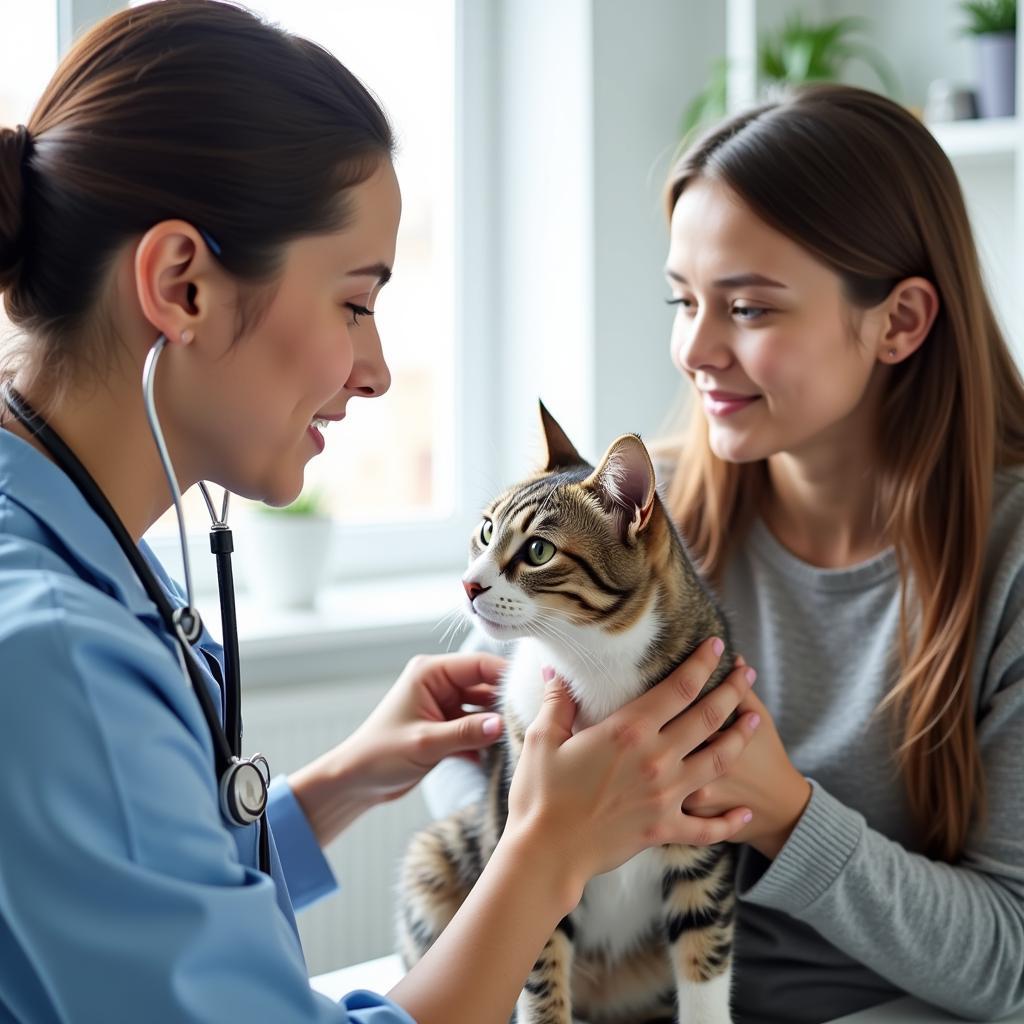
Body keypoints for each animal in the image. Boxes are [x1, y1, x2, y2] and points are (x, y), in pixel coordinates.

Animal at [395, 401, 741, 1024]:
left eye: (538, 550)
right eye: (486, 530)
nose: (468, 585)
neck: (590, 660)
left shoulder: (703, 829)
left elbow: (704, 949)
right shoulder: (521, 824)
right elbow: (537, 961)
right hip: (438, 858)